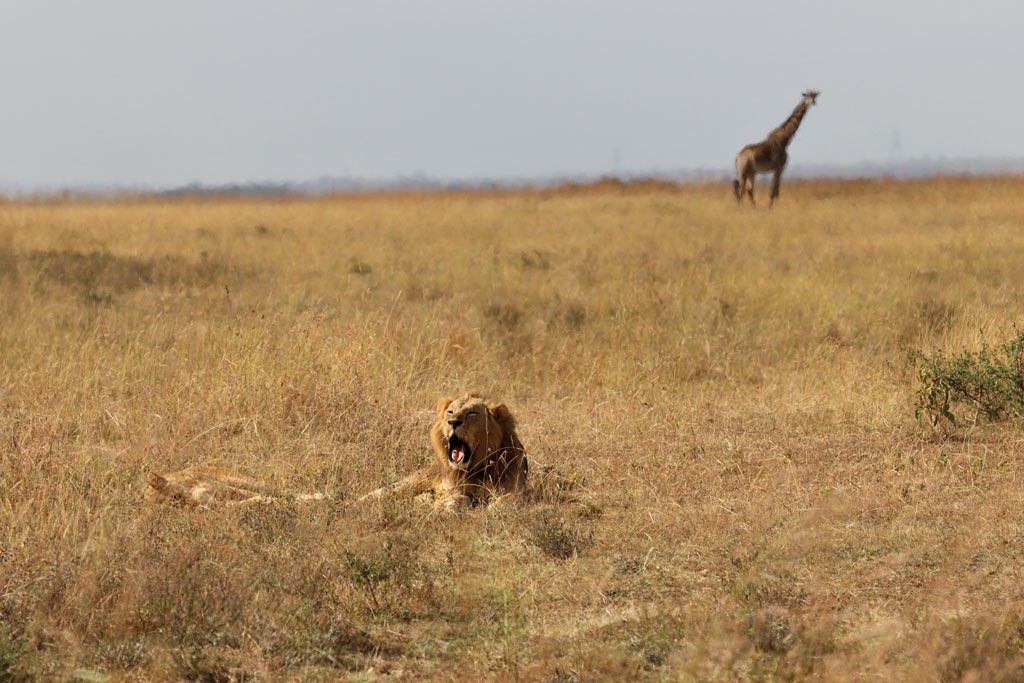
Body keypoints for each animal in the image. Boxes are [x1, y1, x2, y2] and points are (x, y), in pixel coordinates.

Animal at [362, 393, 528, 509]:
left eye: (472, 413)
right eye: (450, 411)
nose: (453, 422)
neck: (475, 469)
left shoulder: (516, 488)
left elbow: (509, 499)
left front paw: (493, 508)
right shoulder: (453, 489)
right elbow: (458, 498)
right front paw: (445, 506)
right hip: (408, 484)